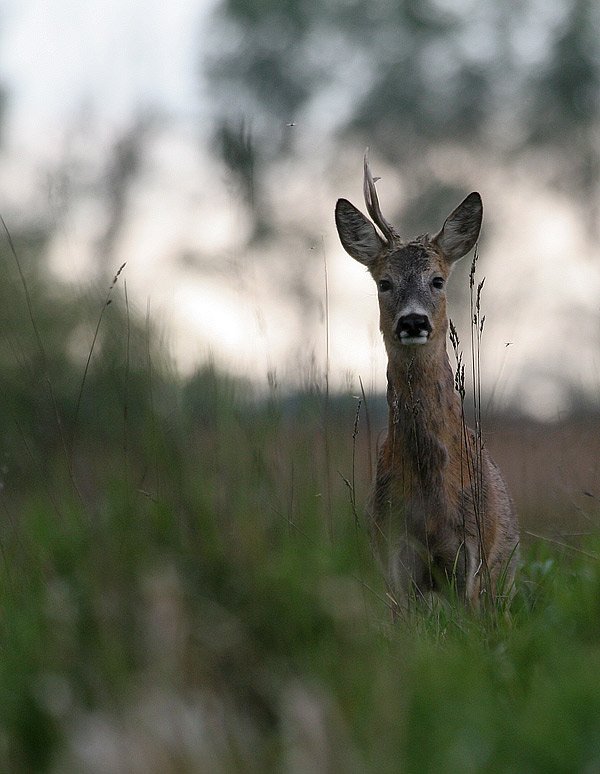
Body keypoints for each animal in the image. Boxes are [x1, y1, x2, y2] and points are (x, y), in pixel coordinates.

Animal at [336, 152, 516, 612]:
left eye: (437, 280)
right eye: (384, 282)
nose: (414, 321)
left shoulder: (473, 556)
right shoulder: (394, 556)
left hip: (504, 567)